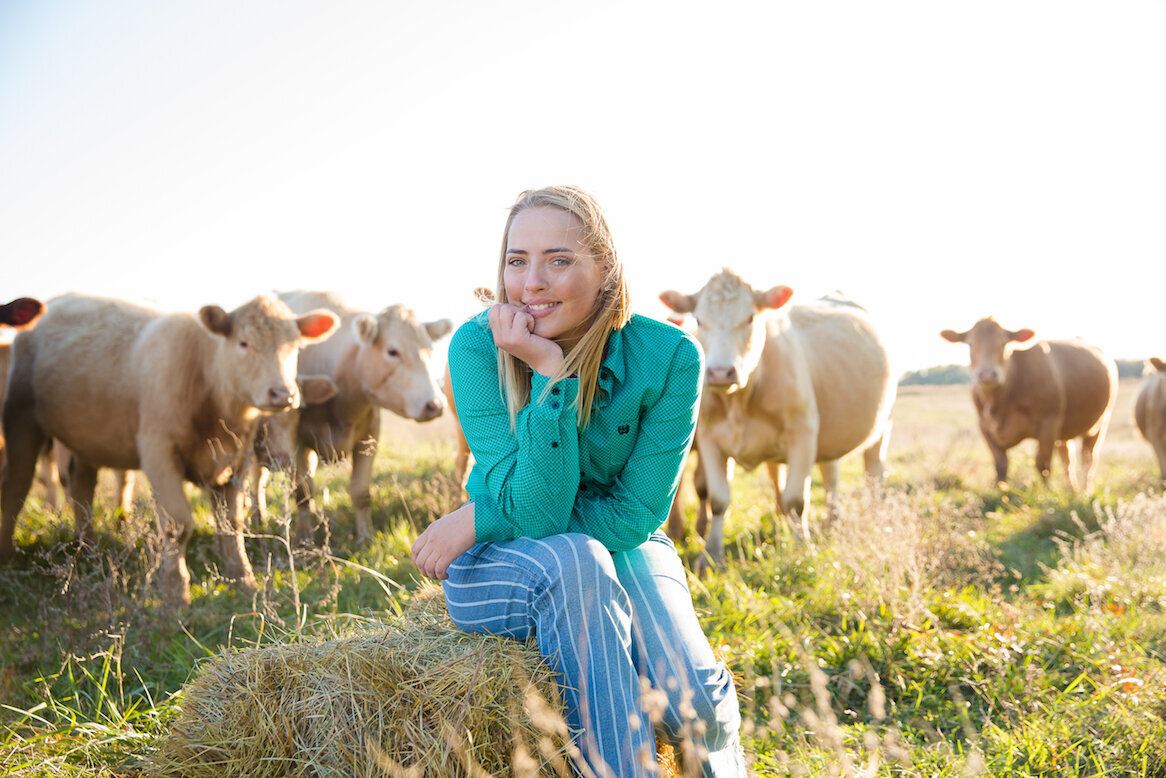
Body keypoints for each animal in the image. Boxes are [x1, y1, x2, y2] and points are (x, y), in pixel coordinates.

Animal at [0, 295, 338, 606]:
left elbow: (232, 525)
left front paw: (244, 582)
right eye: (244, 343)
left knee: (81, 487)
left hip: (86, 439)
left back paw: (88, 549)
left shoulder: (237, 461)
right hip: (22, 423)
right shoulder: (158, 452)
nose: (283, 393)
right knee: (16, 489)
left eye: (295, 347)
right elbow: (178, 525)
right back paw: (8, 558)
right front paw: (175, 595)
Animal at [277, 289, 450, 545]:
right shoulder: (296, 440)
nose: (435, 405)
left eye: (429, 351)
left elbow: (360, 492)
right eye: (392, 351)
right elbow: (303, 491)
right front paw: (304, 539)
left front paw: (365, 537)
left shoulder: (370, 436)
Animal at [662, 270, 895, 569]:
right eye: (699, 320)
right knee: (830, 475)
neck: (740, 400)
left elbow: (796, 500)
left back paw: (876, 517)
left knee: (874, 473)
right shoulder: (709, 440)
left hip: (882, 426)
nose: (720, 372)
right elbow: (717, 499)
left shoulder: (803, 434)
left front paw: (800, 548)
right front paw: (710, 555)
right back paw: (833, 519)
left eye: (750, 317)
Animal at [937, 317, 1119, 489]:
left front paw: (1046, 494)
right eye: (970, 344)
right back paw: (1071, 490)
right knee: (1067, 459)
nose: (987, 375)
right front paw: (1000, 490)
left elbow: (1043, 465)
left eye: (1004, 343)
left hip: (1099, 424)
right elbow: (1000, 465)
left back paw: (1085, 490)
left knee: (1088, 460)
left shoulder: (1049, 423)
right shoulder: (985, 427)